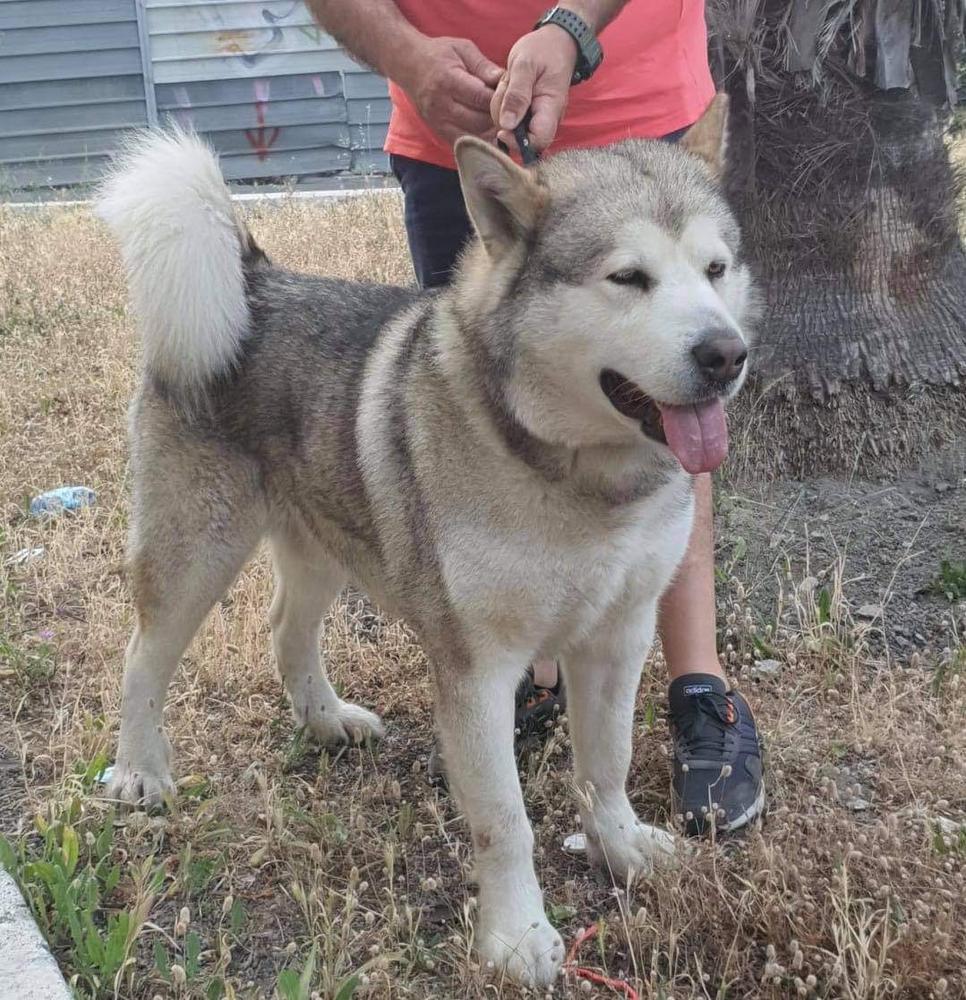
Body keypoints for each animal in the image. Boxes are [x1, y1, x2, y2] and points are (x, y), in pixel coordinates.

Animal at [102, 97, 760, 988]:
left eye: (716, 269)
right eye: (629, 278)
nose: (726, 354)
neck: (577, 478)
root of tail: (254, 281)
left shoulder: (618, 638)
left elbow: (609, 765)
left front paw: (622, 852)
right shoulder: (476, 670)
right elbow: (506, 819)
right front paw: (516, 937)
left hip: (323, 544)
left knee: (286, 633)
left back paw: (325, 720)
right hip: (194, 554)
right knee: (142, 658)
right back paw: (140, 770)